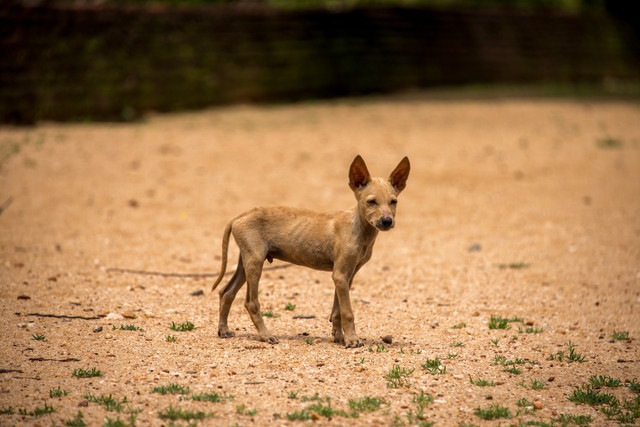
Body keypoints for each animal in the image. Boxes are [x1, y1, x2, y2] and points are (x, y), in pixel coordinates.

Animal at [210, 155, 410, 350]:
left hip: (245, 262)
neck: (359, 229)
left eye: (394, 202)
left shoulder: (346, 276)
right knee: (251, 302)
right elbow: (347, 312)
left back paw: (223, 330)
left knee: (226, 292)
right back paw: (265, 335)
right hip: (255, 262)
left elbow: (337, 310)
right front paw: (352, 339)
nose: (387, 221)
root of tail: (240, 215)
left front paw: (339, 337)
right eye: (371, 202)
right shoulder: (340, 275)